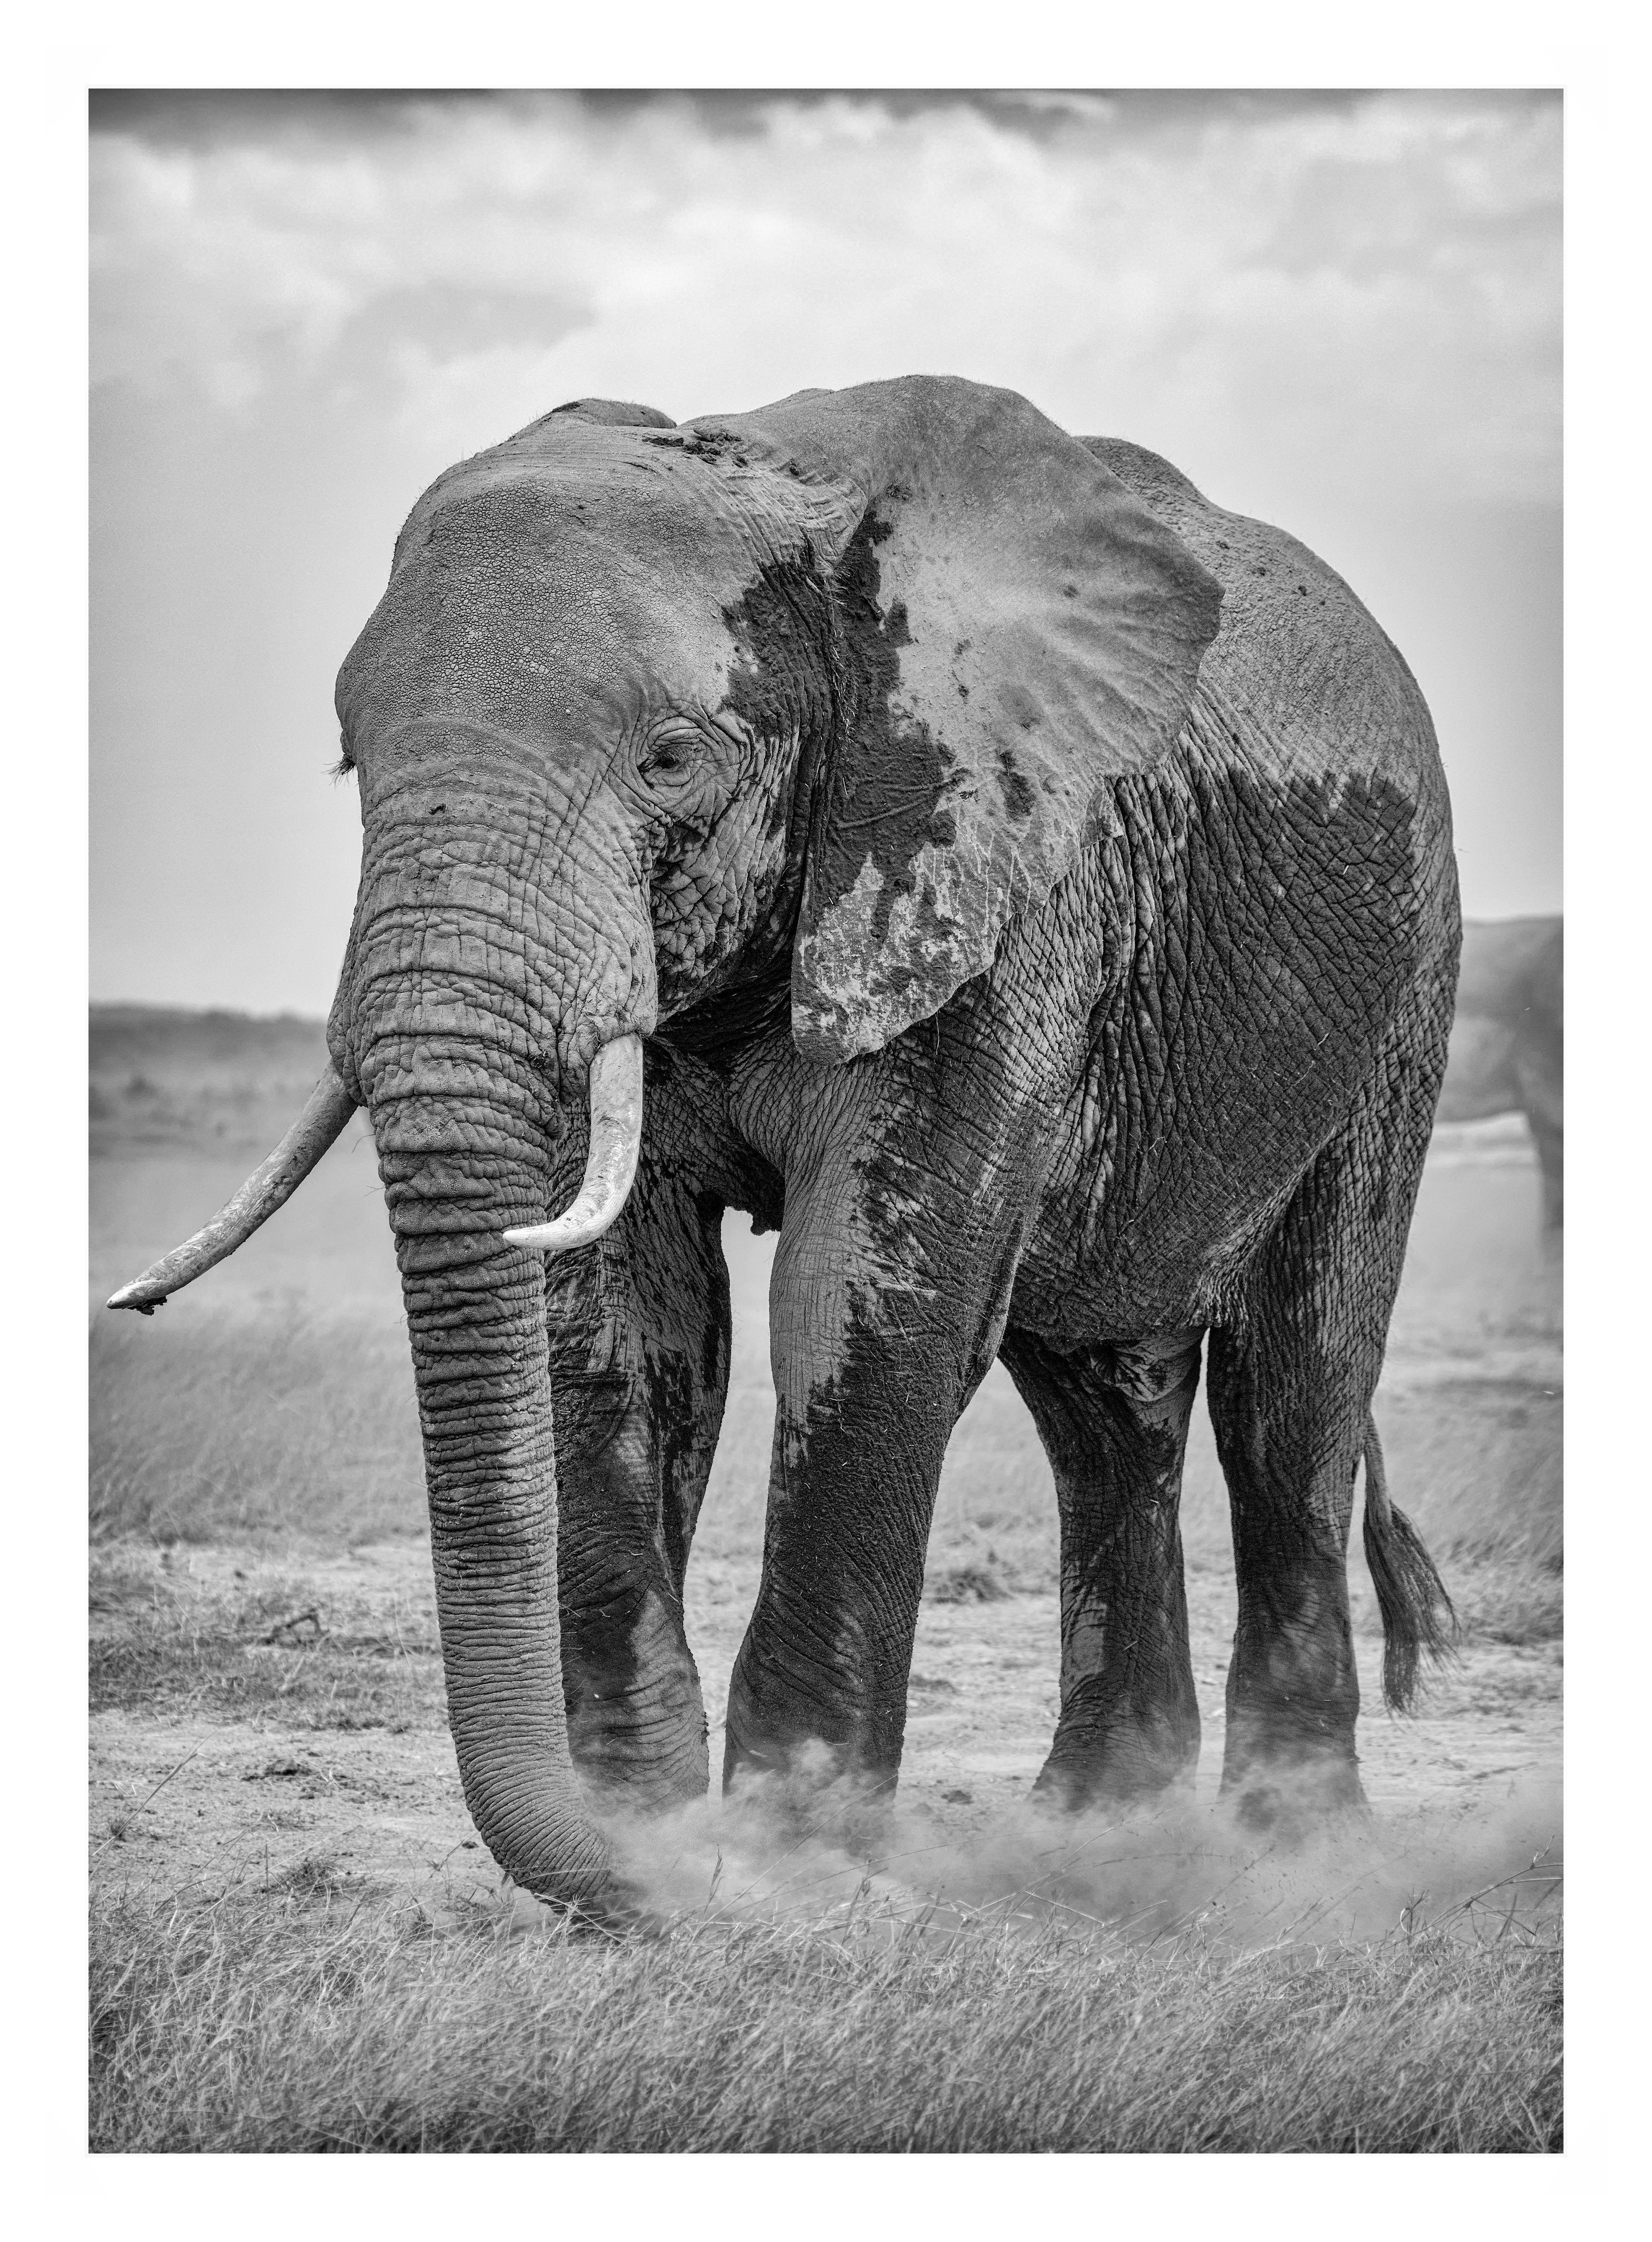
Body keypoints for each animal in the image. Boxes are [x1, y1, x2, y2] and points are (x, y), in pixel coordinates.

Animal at [110, 375, 1459, 1914]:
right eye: (349, 762)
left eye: (670, 760)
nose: (647, 1878)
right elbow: (624, 1321)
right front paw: (645, 1832)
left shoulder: (982, 869)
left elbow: (858, 1300)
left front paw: (786, 1870)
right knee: (1100, 1402)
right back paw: (1097, 1832)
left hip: (1404, 986)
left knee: (1295, 1384)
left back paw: (1290, 1848)